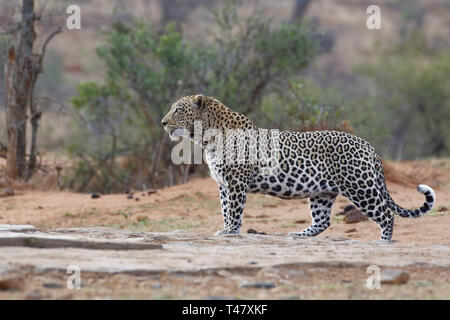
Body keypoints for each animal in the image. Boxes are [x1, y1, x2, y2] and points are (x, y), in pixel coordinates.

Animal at [162, 94, 436, 241]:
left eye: (177, 110)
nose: (163, 122)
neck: (206, 137)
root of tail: (368, 145)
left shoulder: (236, 183)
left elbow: (234, 210)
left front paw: (230, 231)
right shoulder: (223, 184)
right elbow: (224, 208)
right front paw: (226, 228)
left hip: (360, 188)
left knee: (386, 215)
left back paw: (383, 242)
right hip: (322, 192)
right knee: (323, 221)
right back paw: (299, 234)